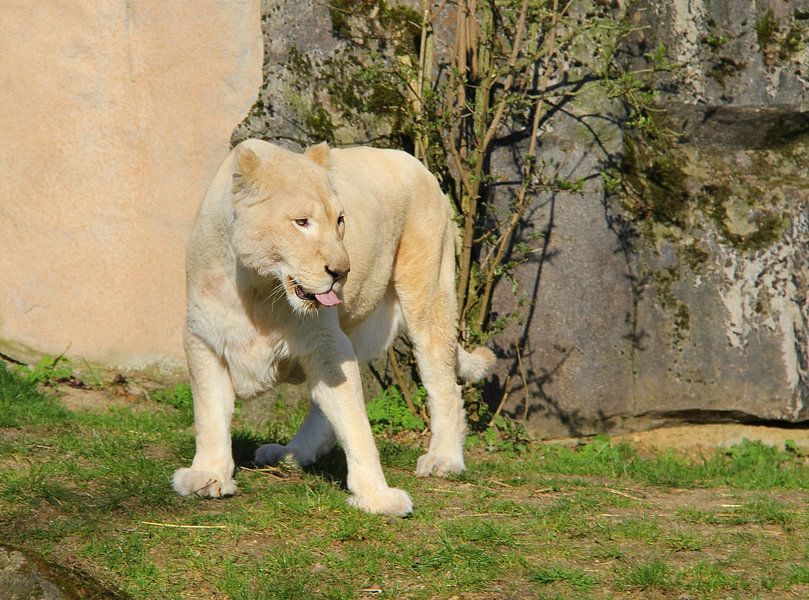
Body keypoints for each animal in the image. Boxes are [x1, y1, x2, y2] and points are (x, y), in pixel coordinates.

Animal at [172, 139, 495, 516]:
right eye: (301, 222)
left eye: (340, 220)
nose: (341, 272)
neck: (258, 288)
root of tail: (415, 163)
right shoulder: (203, 338)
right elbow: (209, 414)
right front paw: (207, 476)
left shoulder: (327, 343)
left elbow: (355, 422)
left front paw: (377, 497)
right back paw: (291, 454)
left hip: (427, 296)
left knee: (443, 384)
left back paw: (444, 460)